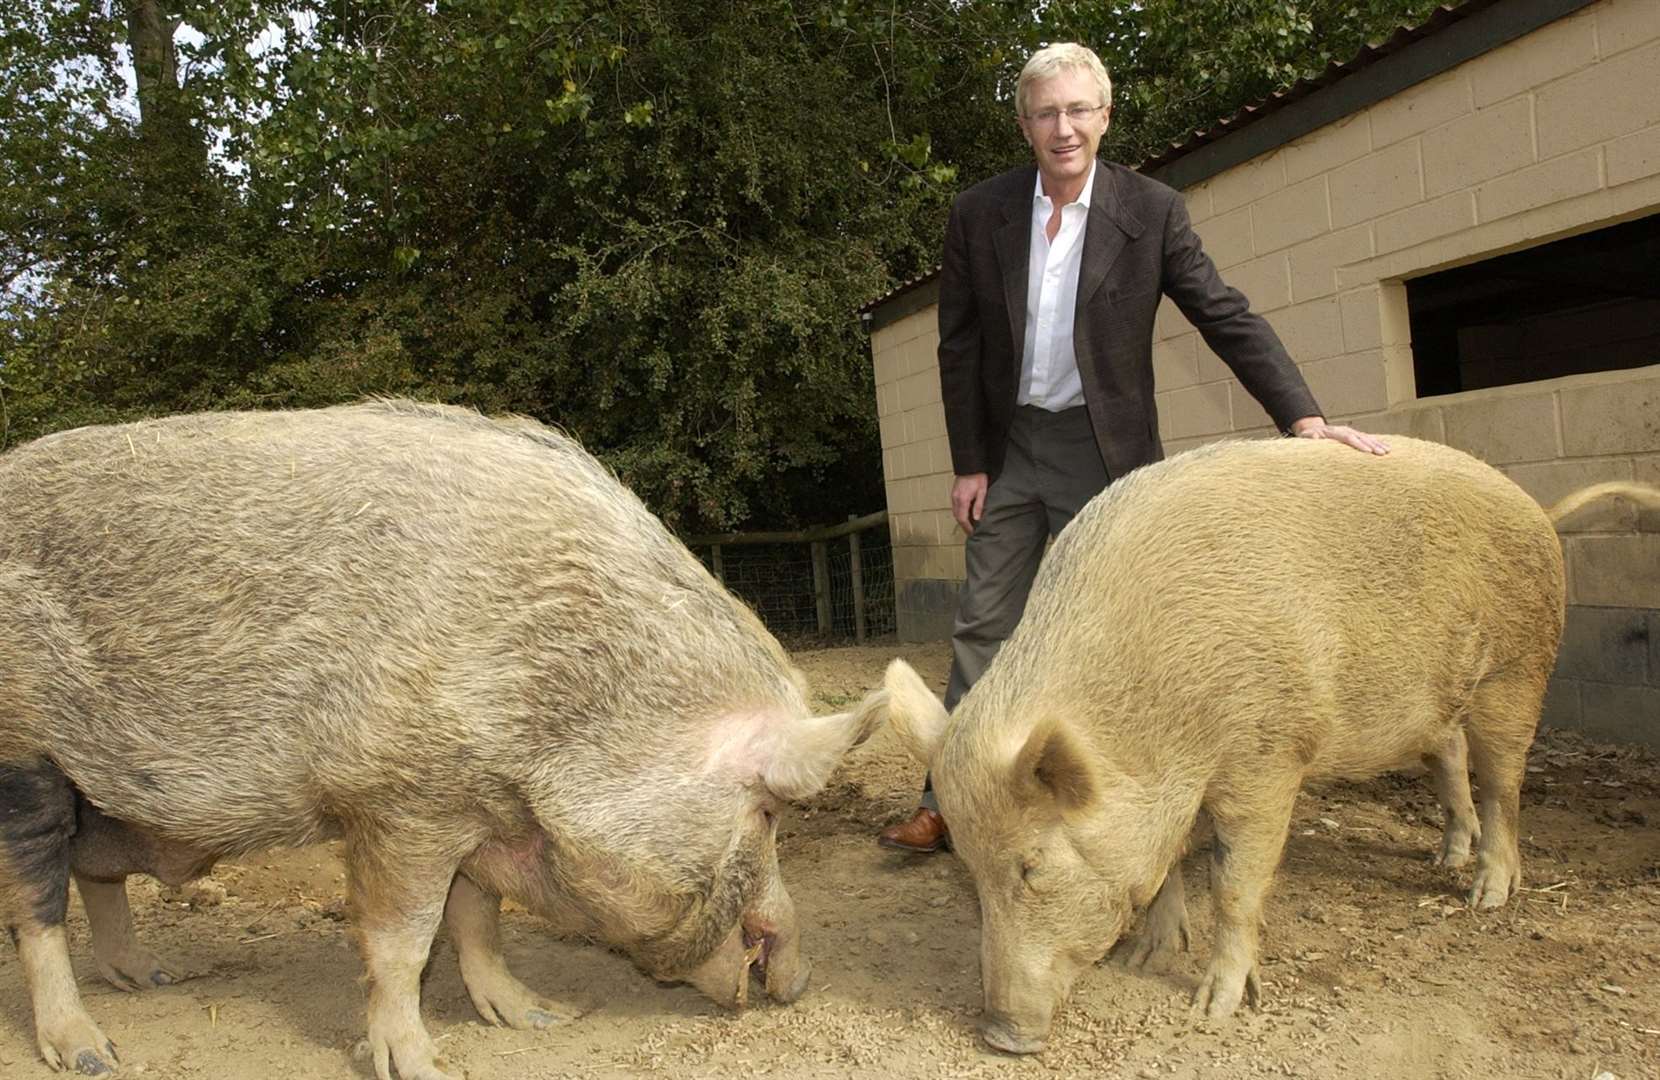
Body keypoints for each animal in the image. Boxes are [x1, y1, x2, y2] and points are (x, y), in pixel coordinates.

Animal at [0, 401, 883, 1075]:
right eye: (769, 812)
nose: (802, 983)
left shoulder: (470, 806)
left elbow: (477, 919)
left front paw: (539, 1019)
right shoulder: (398, 800)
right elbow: (402, 941)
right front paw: (422, 1065)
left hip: (98, 797)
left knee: (96, 871)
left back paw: (154, 977)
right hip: (23, 752)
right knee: (35, 900)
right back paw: (91, 1053)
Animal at [876, 434, 1653, 1055]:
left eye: (1032, 867)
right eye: (968, 869)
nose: (1000, 1036)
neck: (1157, 717)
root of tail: (1538, 508)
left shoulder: (1270, 751)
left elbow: (1234, 880)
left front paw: (1213, 1008)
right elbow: (1167, 864)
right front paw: (1143, 959)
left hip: (1519, 667)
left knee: (1504, 781)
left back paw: (1485, 896)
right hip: (1438, 701)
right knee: (1452, 758)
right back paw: (1447, 856)